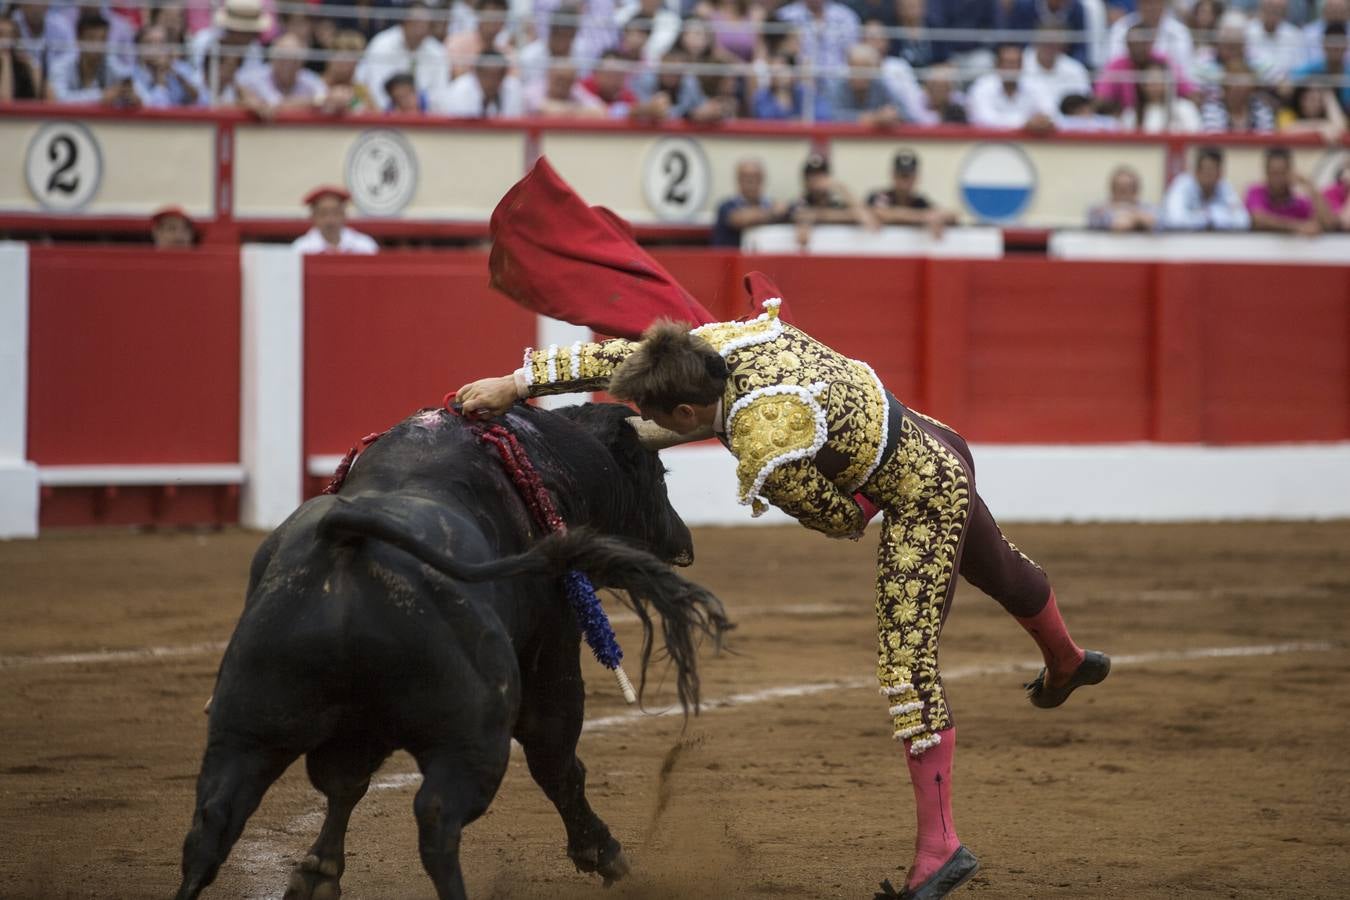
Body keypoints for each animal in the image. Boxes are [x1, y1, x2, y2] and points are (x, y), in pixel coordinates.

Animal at [179, 407, 734, 900]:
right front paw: (602, 853)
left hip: (247, 725)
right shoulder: (553, 651)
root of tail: (346, 540)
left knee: (213, 822)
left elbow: (345, 785)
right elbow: (555, 760)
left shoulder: (351, 730)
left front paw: (318, 874)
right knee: (439, 819)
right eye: (656, 473)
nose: (684, 542)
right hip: (471, 741)